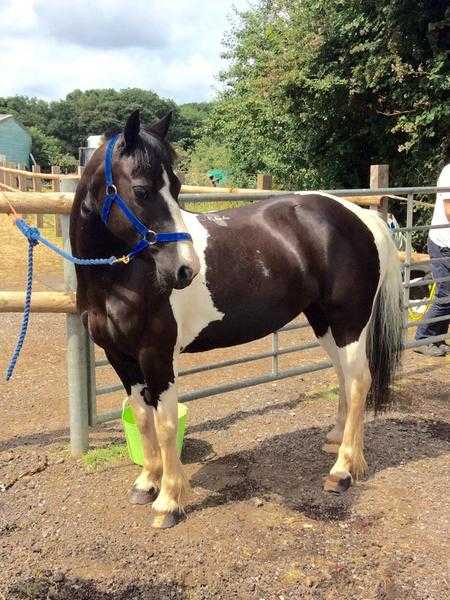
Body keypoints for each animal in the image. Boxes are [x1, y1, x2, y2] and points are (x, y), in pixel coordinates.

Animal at [71, 110, 404, 528]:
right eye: (143, 190)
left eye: (175, 186)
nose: (186, 269)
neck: (119, 279)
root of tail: (360, 215)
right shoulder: (120, 356)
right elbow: (143, 418)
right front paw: (146, 482)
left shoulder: (156, 355)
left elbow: (165, 424)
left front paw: (168, 500)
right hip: (324, 321)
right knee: (345, 375)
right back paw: (336, 440)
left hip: (349, 321)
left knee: (359, 380)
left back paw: (342, 471)